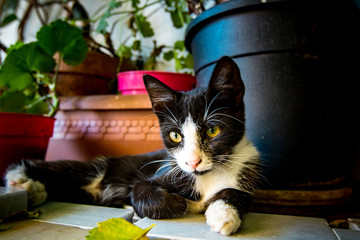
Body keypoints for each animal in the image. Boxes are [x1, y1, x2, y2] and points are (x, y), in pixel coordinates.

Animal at [4, 55, 260, 234]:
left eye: (212, 130)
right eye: (175, 135)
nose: (192, 162)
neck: (206, 177)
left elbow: (237, 194)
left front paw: (224, 214)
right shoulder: (161, 173)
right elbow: (140, 191)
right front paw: (178, 204)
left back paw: (35, 191)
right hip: (96, 168)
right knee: (62, 170)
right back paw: (22, 181)